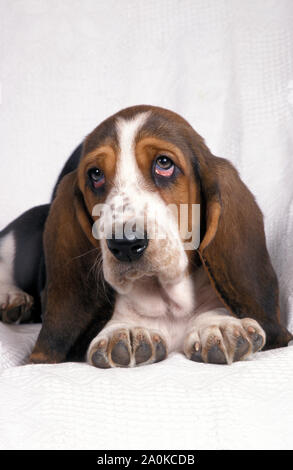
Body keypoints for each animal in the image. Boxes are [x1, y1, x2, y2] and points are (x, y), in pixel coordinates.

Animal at [0, 104, 290, 366]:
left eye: (164, 163)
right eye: (95, 174)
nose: (126, 244)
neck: (166, 304)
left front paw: (218, 325)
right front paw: (124, 330)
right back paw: (12, 299)